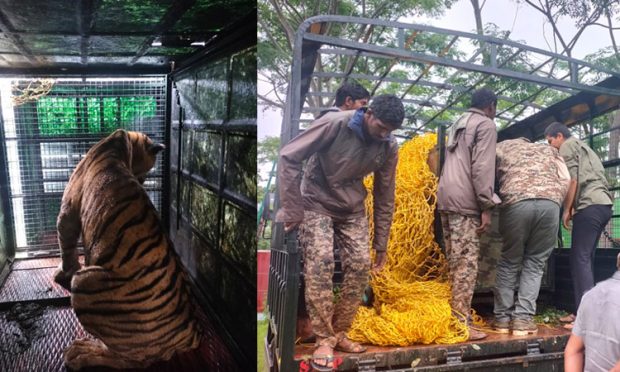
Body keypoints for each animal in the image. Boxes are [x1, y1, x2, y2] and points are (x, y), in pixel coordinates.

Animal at [52, 128, 201, 370]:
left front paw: (61, 273)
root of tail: (192, 332)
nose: (142, 181)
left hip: (86, 283)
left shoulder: (68, 211)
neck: (122, 142)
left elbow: (67, 249)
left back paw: (82, 352)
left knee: (129, 359)